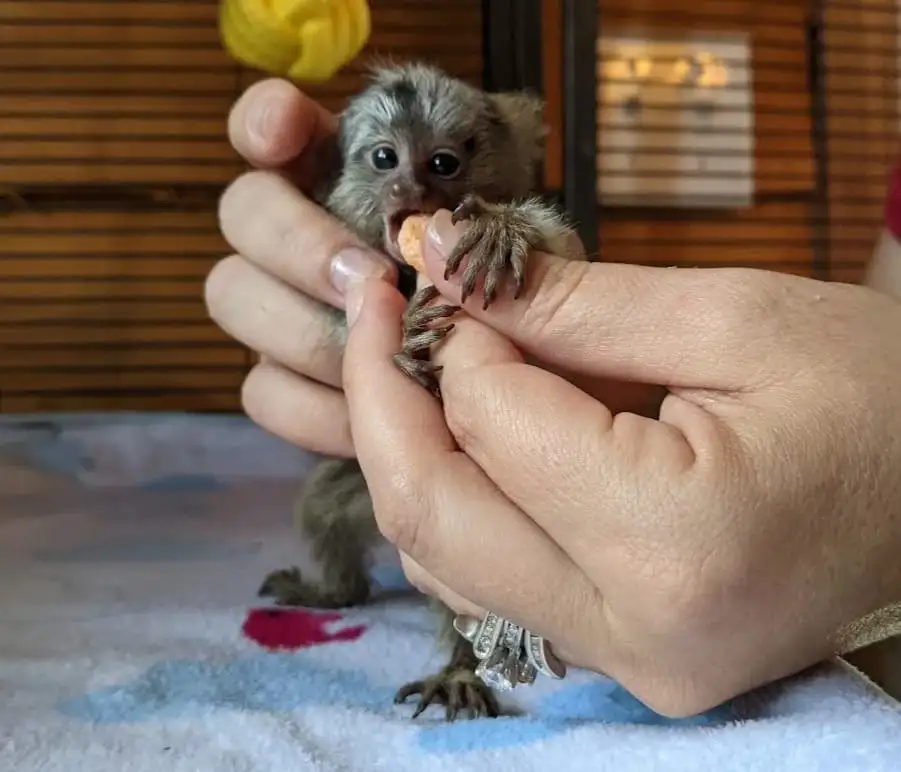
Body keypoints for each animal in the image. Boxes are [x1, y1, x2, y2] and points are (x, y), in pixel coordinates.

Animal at [257, 61, 586, 721]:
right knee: (324, 502)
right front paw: (406, 337)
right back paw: (336, 592)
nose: (409, 188)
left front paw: (498, 229)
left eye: (443, 163)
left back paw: (459, 670)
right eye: (384, 157)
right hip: (354, 483)